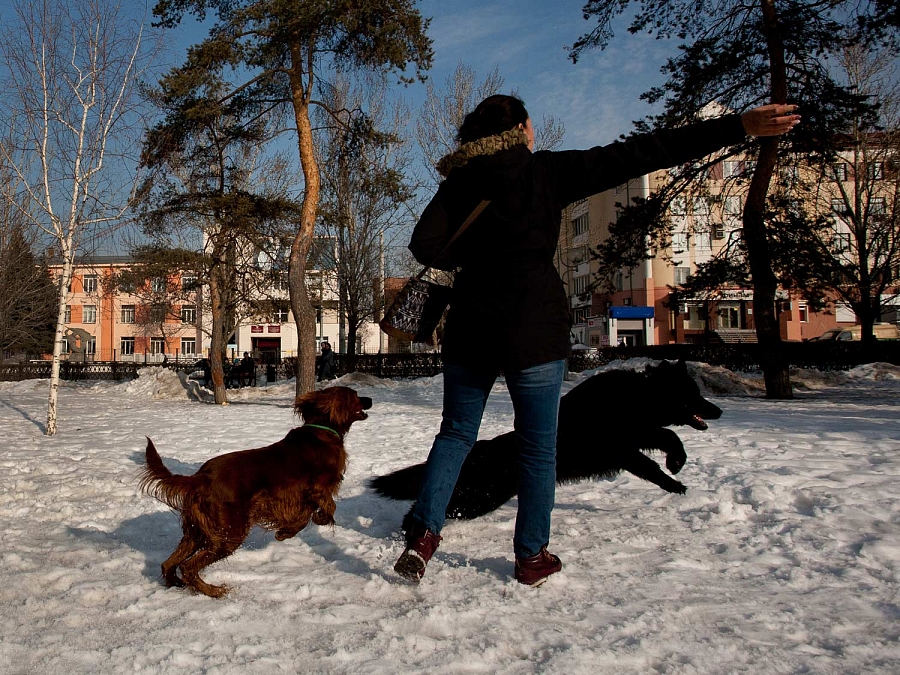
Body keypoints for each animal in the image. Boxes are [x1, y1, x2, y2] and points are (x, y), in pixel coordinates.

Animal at [138, 386, 370, 596]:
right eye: (356, 395)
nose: (370, 399)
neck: (322, 428)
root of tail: (202, 476)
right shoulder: (317, 488)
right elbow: (328, 508)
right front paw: (315, 522)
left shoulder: (299, 497)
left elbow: (304, 518)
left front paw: (286, 532)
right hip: (229, 532)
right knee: (188, 566)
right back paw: (214, 591)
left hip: (197, 531)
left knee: (168, 563)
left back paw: (176, 583)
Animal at [370, 360, 720, 524]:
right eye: (693, 394)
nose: (717, 410)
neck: (639, 396)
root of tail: (480, 450)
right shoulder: (623, 449)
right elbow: (655, 460)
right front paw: (676, 480)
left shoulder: (637, 436)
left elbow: (668, 435)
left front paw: (677, 462)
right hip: (478, 497)